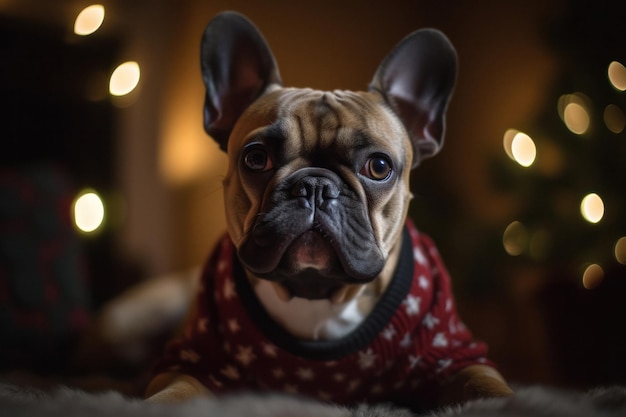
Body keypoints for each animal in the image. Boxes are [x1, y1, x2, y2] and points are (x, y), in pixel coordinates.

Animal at [146, 11, 512, 408]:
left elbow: (492, 391)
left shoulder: (456, 357)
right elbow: (171, 395)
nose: (315, 186)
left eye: (379, 167)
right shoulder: (190, 360)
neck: (317, 294)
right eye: (256, 158)